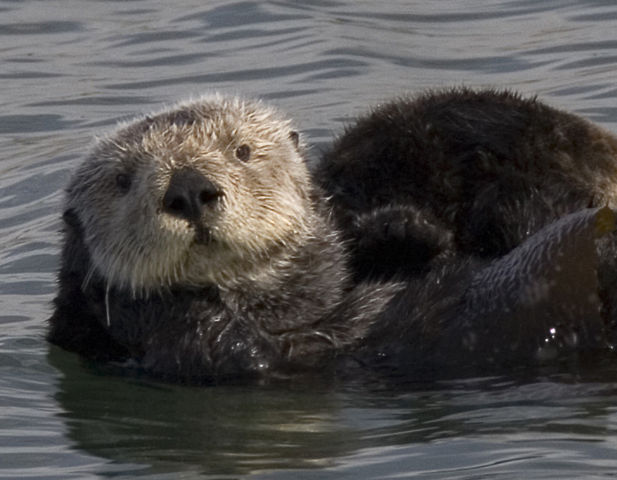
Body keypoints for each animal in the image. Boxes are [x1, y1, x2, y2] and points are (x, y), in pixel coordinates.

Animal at [47, 91, 616, 382]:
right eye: (123, 181)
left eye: (241, 151)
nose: (188, 189)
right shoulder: (195, 355)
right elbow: (225, 346)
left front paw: (401, 228)